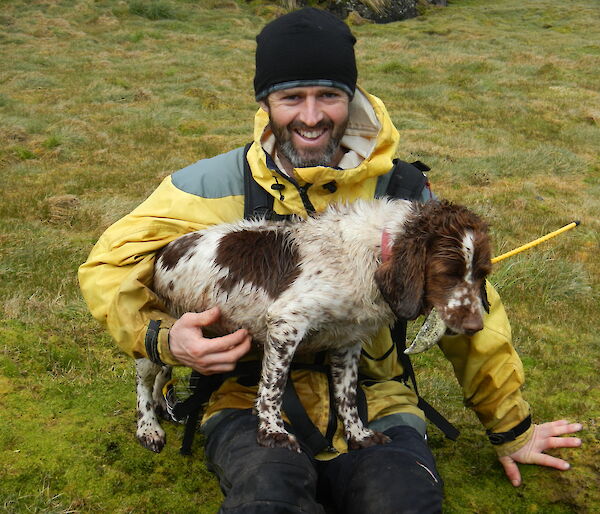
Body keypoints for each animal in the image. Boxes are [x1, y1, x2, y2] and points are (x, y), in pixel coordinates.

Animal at [135, 198, 492, 450]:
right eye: (447, 273)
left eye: (482, 273)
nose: (476, 326)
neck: (373, 253)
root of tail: (164, 251)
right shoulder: (286, 322)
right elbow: (273, 388)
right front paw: (273, 432)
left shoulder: (347, 341)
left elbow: (347, 396)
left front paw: (358, 435)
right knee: (145, 376)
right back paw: (148, 427)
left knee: (163, 371)